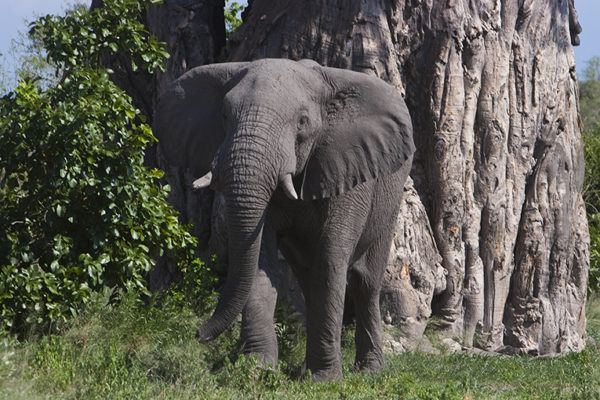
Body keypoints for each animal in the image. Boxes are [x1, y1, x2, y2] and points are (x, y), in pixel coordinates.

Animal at [152, 57, 414, 380]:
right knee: (307, 277)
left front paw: (323, 379)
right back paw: (305, 369)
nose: (198, 334)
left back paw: (369, 372)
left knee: (364, 281)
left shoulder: (346, 166)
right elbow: (259, 260)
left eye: (302, 122)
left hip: (390, 198)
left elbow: (331, 258)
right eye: (224, 114)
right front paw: (258, 369)